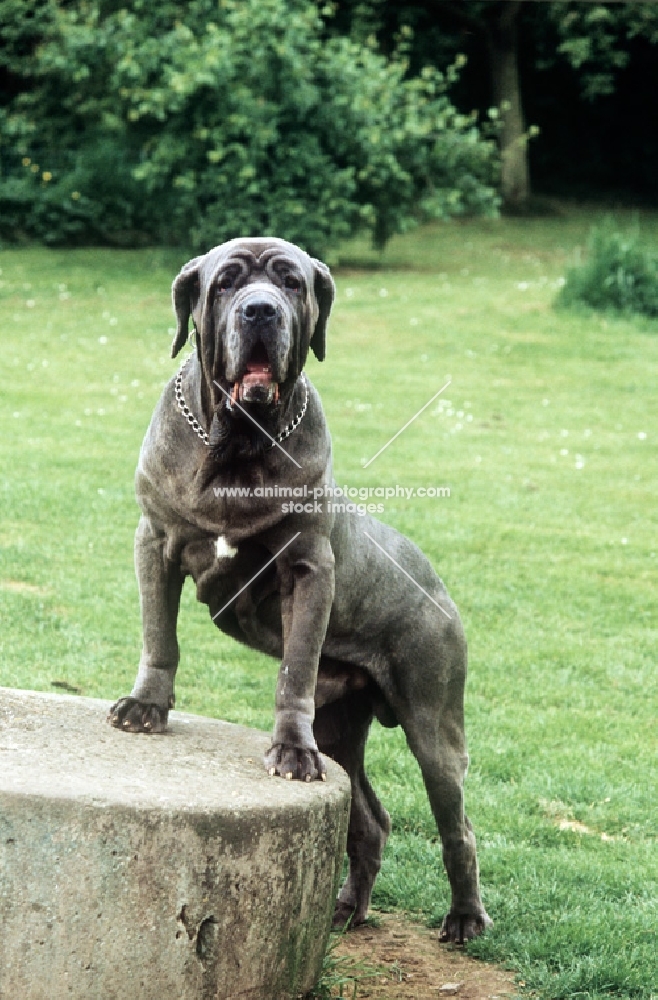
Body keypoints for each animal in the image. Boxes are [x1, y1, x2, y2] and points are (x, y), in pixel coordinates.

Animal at [109, 238, 486, 940]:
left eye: (291, 282)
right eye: (226, 283)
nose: (260, 310)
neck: (236, 447)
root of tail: (437, 584)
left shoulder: (308, 569)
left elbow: (295, 670)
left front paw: (289, 751)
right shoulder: (155, 541)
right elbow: (159, 638)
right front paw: (145, 707)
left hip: (433, 719)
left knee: (457, 823)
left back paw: (464, 917)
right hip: (343, 724)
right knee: (371, 817)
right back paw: (346, 909)